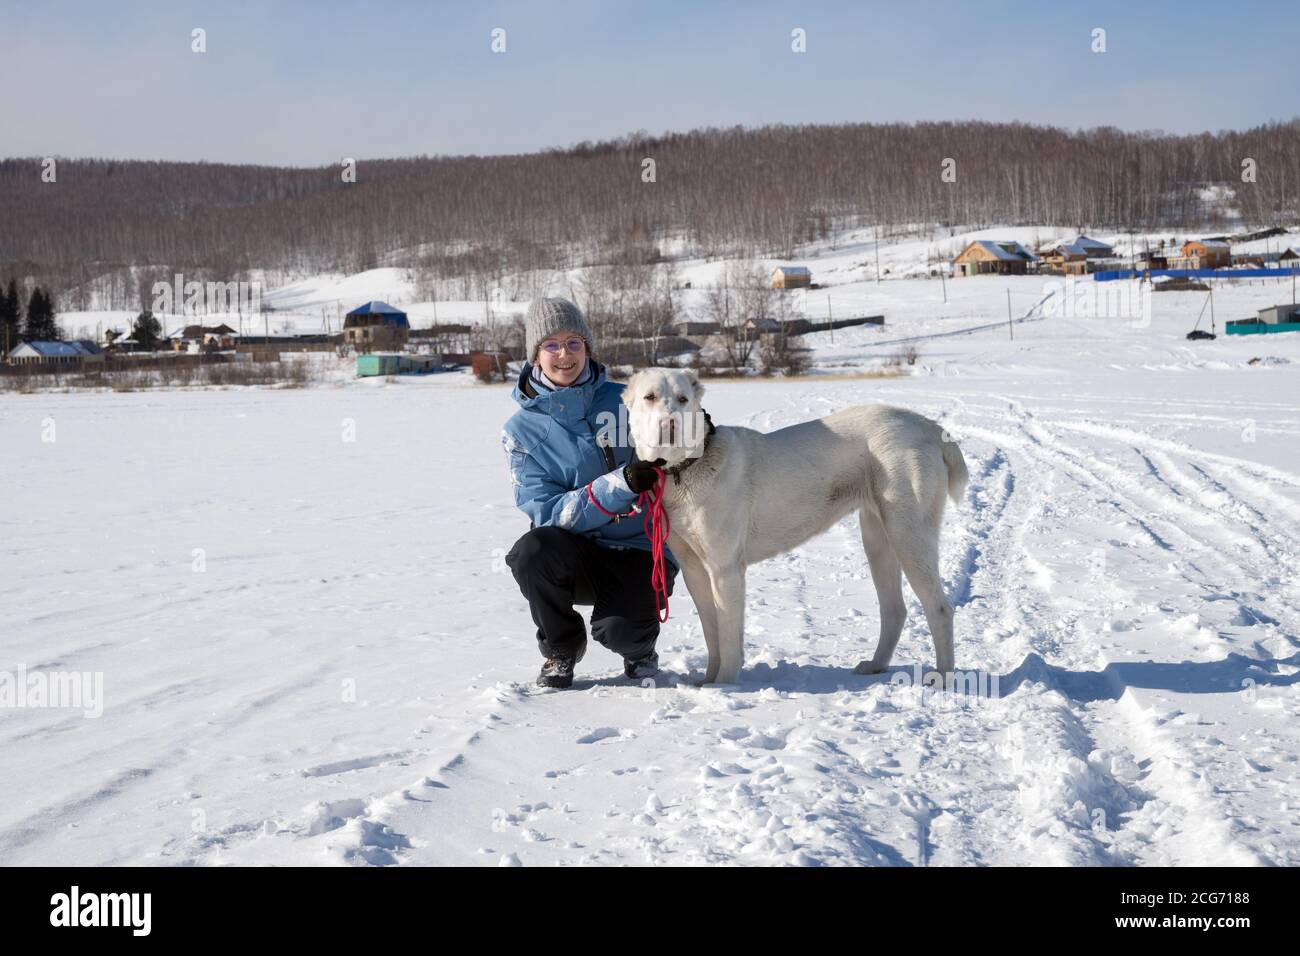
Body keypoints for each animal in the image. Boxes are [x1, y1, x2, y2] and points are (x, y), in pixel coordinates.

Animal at [618, 369, 967, 686]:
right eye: (650, 398)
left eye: (682, 399)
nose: (669, 424)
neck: (686, 467)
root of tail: (929, 426)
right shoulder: (695, 571)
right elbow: (711, 632)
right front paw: (708, 681)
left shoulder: (725, 569)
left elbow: (728, 636)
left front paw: (725, 686)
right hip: (877, 539)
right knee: (894, 609)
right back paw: (875, 666)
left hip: (908, 534)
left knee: (939, 608)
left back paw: (943, 677)